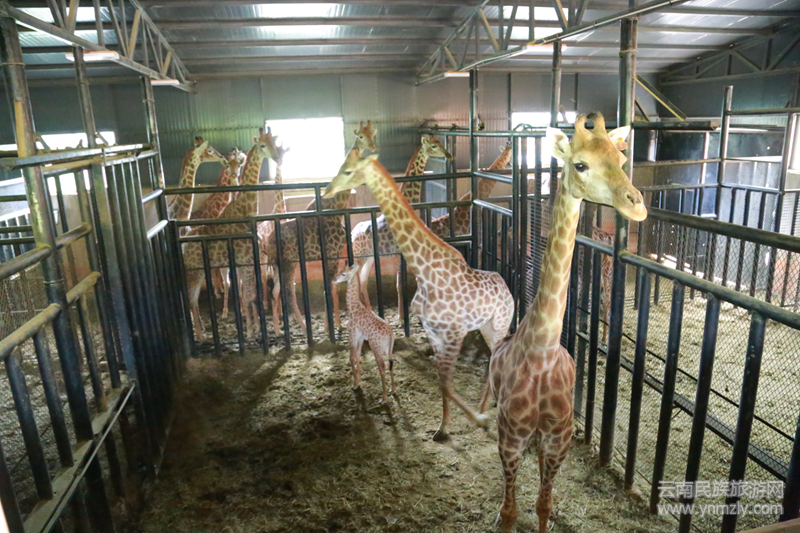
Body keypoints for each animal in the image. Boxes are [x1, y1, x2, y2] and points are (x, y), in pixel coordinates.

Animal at [181, 128, 280, 340]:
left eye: (274, 143)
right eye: (262, 145)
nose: (277, 157)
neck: (245, 208)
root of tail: (183, 243)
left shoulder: (247, 260)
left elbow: (250, 292)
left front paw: (253, 328)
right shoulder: (244, 258)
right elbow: (248, 293)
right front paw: (253, 330)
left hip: (198, 271)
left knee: (193, 299)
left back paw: (201, 334)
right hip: (194, 271)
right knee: (190, 297)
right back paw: (199, 335)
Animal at [262, 121, 378, 335]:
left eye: (371, 134)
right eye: (360, 135)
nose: (373, 147)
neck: (335, 208)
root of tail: (269, 240)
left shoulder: (332, 255)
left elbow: (329, 287)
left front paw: (330, 326)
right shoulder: (332, 253)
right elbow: (329, 287)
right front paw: (329, 328)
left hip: (280, 264)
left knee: (276, 291)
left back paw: (279, 330)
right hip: (288, 263)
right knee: (288, 292)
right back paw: (303, 328)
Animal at [333, 263, 396, 403]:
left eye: (343, 274)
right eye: (339, 271)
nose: (333, 280)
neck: (353, 308)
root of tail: (390, 333)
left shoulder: (353, 334)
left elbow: (351, 357)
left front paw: (355, 384)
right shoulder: (361, 337)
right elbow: (357, 356)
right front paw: (359, 380)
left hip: (376, 347)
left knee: (382, 367)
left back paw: (384, 398)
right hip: (388, 349)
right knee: (391, 363)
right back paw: (393, 389)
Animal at [351, 135, 452, 315]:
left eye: (440, 142)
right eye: (434, 146)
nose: (449, 155)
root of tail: (351, 233)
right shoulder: (401, 253)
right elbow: (400, 284)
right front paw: (400, 317)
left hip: (369, 258)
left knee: (362, 281)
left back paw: (370, 311)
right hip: (359, 257)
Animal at [479, 113, 646, 533]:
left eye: (622, 160)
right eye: (580, 164)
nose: (636, 205)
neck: (542, 351)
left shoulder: (560, 436)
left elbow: (543, 505)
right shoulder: (511, 437)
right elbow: (510, 513)